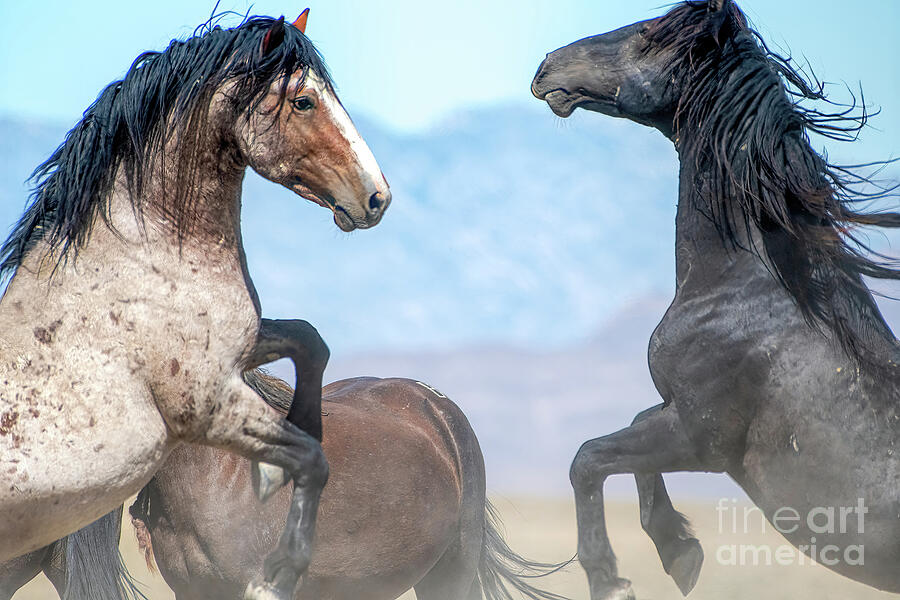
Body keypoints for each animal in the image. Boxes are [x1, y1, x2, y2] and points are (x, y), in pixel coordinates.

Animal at [0, 12, 384, 600]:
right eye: (303, 101)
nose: (377, 197)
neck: (138, 254)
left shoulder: (237, 352)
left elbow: (309, 341)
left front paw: (279, 459)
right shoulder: (207, 406)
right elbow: (311, 459)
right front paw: (281, 564)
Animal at [536, 1, 900, 600]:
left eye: (647, 34)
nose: (546, 67)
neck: (751, 291)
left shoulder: (700, 438)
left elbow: (587, 459)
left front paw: (611, 578)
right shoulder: (673, 412)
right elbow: (630, 432)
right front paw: (678, 548)